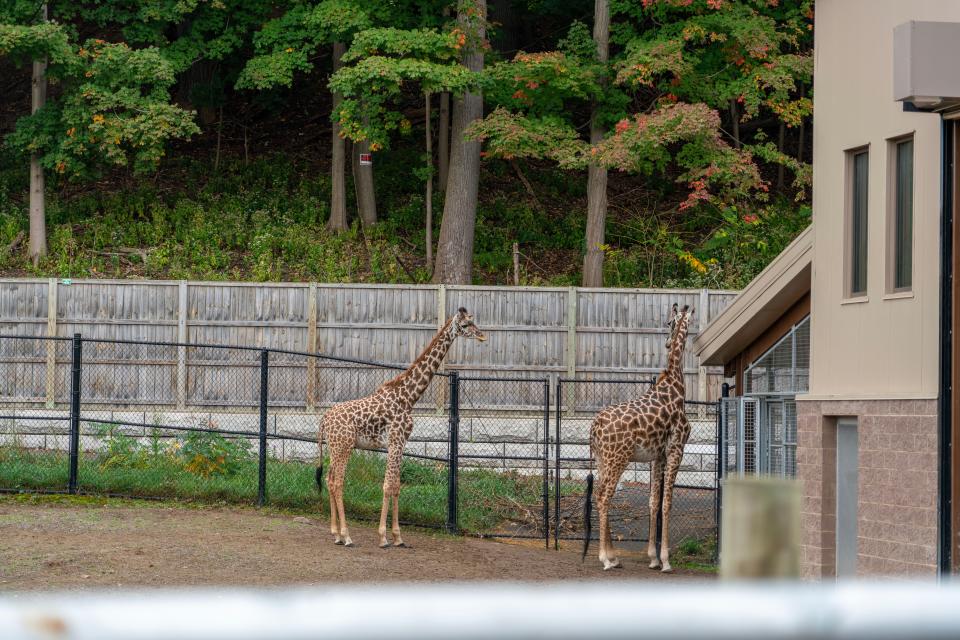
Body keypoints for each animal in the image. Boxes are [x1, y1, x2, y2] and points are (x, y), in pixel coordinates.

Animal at [316, 308, 484, 548]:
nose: (482, 335)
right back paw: (347, 536)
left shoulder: (401, 444)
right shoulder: (395, 441)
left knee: (329, 480)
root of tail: (324, 419)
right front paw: (383, 537)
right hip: (344, 446)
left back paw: (336, 533)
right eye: (464, 325)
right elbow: (387, 486)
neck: (408, 397)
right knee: (338, 482)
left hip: (334, 447)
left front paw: (398, 537)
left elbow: (396, 486)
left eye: (473, 321)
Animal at [580, 302, 692, 572]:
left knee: (599, 494)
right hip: (617, 459)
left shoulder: (658, 456)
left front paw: (653, 558)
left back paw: (613, 557)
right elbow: (666, 502)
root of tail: (594, 427)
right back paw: (605, 559)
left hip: (602, 460)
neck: (676, 386)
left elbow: (653, 501)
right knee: (604, 496)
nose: (667, 343)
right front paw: (666, 561)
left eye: (669, 323)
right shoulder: (676, 450)